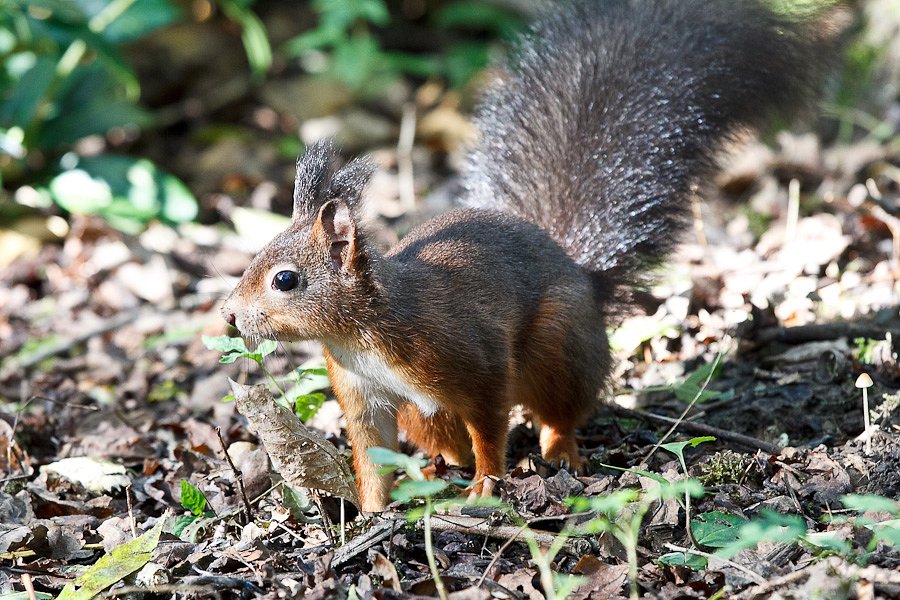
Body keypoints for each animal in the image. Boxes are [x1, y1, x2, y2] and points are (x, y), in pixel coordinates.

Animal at [220, 0, 836, 510]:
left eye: (284, 280)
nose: (229, 315)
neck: (363, 330)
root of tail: (581, 274)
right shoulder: (363, 393)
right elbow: (372, 455)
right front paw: (371, 514)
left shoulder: (474, 362)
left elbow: (490, 427)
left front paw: (486, 485)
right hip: (425, 410)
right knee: (443, 438)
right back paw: (436, 468)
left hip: (556, 346)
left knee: (559, 410)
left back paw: (558, 451)